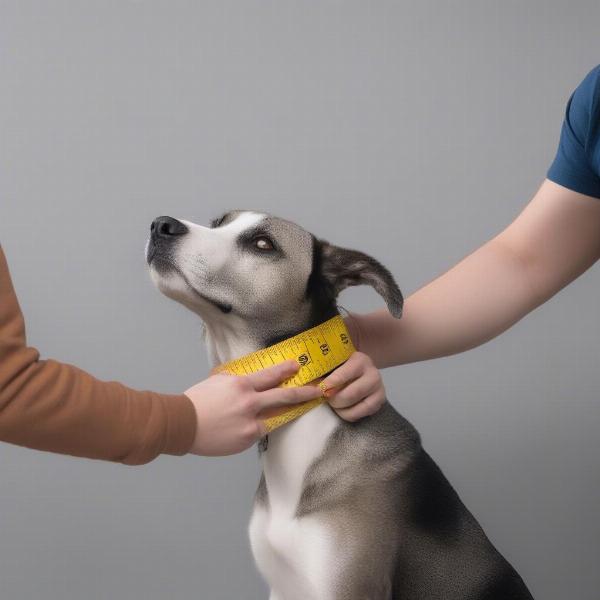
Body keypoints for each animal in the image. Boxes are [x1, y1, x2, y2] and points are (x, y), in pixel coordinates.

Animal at [146, 211, 536, 600]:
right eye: (218, 223)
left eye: (262, 244)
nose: (161, 225)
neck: (304, 431)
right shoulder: (281, 588)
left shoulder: (346, 588)